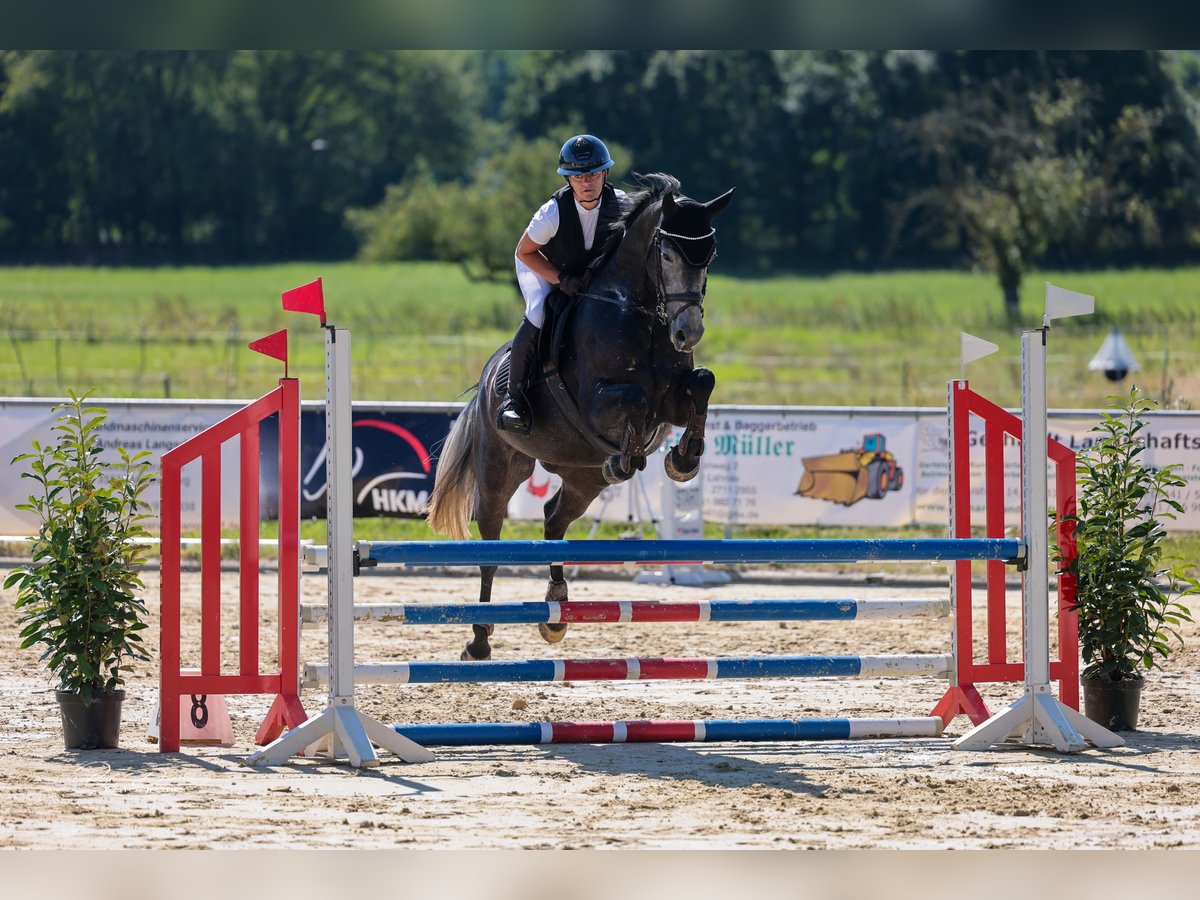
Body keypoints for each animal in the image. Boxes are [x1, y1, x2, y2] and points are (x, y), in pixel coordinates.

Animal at [427, 172, 734, 657]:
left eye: (710, 257)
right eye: (667, 254)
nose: (688, 333)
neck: (641, 313)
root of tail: (487, 381)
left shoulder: (673, 401)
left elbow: (702, 381)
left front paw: (682, 459)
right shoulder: (597, 402)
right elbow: (634, 400)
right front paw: (633, 456)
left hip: (581, 478)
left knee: (554, 517)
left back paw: (556, 610)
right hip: (499, 470)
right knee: (491, 545)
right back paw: (479, 640)